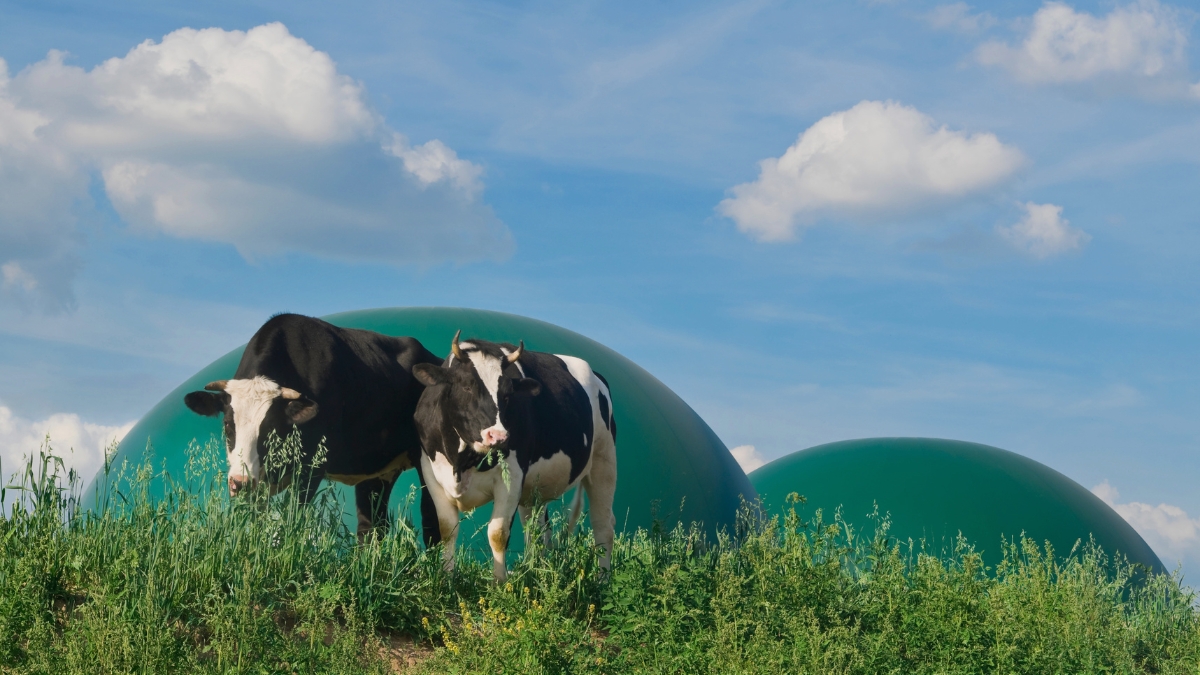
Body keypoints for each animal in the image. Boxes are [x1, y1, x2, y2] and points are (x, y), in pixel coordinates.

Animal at [182, 313, 442, 544]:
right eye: (227, 424)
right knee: (371, 527)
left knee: (431, 518)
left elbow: (289, 520)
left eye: (272, 429)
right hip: (376, 469)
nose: (240, 482)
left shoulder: (311, 468)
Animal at [411, 331, 617, 582]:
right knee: (537, 530)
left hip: (604, 461)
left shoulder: (512, 476)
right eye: (466, 386)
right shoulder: (431, 473)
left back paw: (603, 580)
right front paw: (447, 577)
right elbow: (447, 529)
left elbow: (498, 533)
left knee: (603, 525)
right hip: (535, 489)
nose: (498, 436)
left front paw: (500, 583)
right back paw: (533, 571)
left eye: (508, 395)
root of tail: (598, 376)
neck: (462, 462)